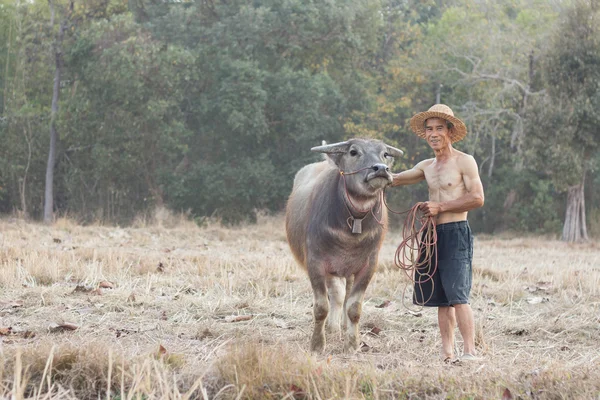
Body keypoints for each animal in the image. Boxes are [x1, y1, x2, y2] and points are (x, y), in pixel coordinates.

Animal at [284, 139, 404, 352]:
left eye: (385, 154)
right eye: (353, 152)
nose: (381, 169)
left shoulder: (368, 265)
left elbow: (354, 307)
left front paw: (352, 343)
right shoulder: (315, 262)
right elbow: (321, 307)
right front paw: (317, 344)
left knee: (344, 296)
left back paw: (341, 326)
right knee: (337, 295)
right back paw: (332, 328)